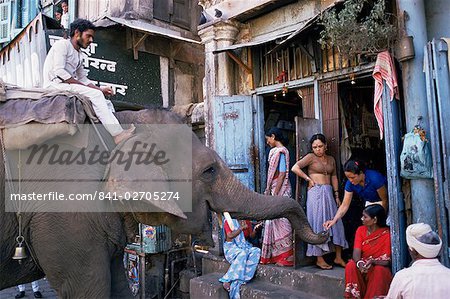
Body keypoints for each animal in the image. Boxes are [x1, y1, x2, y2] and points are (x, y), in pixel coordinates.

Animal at [1, 109, 328, 298]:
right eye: (209, 170)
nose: (324, 231)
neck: (119, 130)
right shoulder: (64, 215)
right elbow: (87, 288)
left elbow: (118, 283)